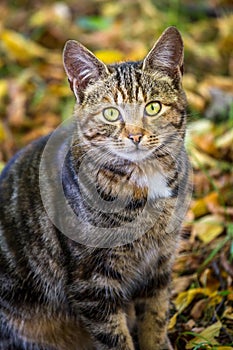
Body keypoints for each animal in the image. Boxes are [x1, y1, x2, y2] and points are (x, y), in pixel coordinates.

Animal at [0, 26, 191, 348]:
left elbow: (155, 319)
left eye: (152, 107)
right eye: (111, 113)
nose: (135, 135)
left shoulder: (159, 264)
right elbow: (116, 338)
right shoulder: (92, 282)